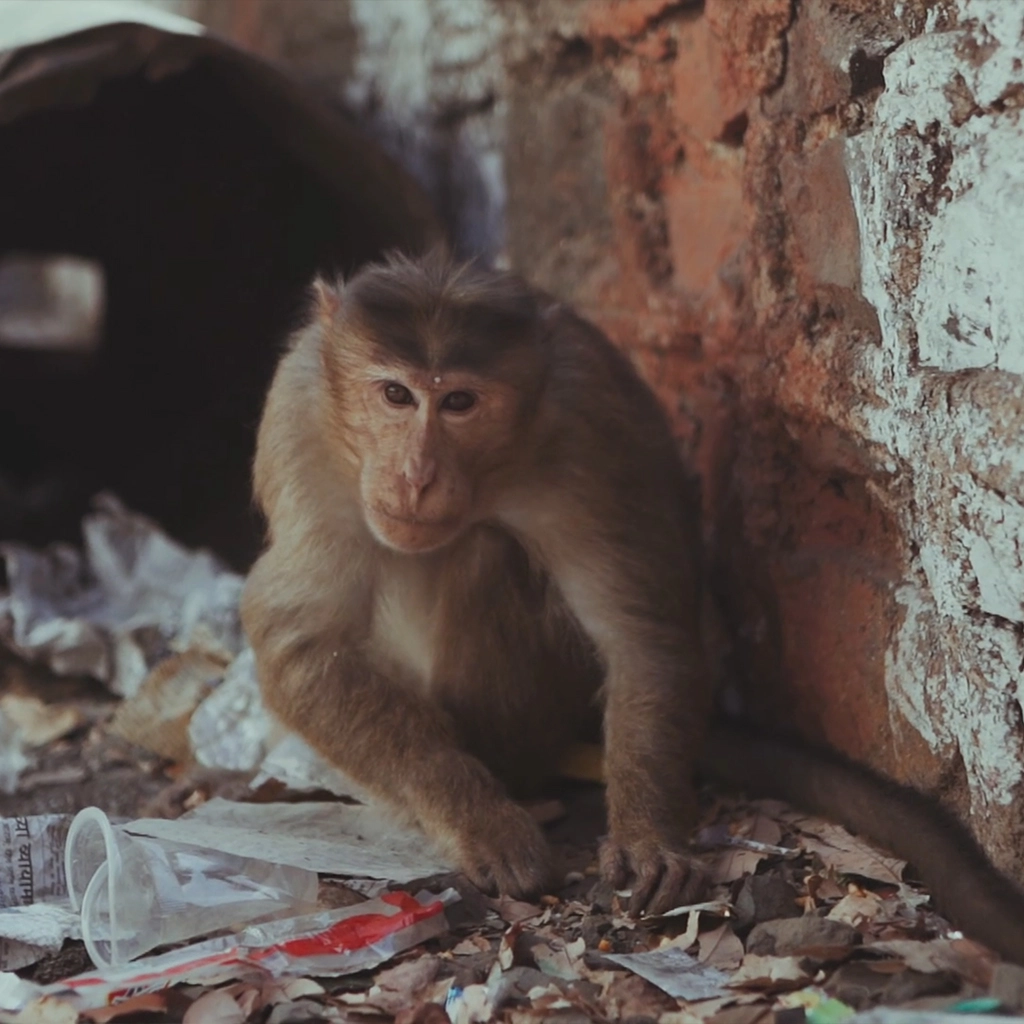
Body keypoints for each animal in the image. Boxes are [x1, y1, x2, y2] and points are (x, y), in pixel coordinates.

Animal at [241, 249, 1024, 963]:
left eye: (458, 402)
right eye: (396, 396)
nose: (416, 475)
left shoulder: (588, 436)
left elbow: (639, 635)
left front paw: (648, 838)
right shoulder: (300, 416)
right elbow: (303, 640)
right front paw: (481, 819)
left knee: (485, 552)